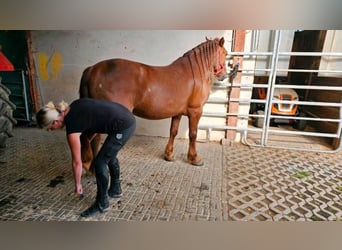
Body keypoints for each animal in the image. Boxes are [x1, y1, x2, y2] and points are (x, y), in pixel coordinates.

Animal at [79, 37, 227, 170]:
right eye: (225, 53)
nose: (224, 75)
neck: (194, 73)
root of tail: (92, 69)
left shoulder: (177, 113)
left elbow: (173, 131)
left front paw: (169, 155)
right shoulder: (196, 111)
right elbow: (193, 134)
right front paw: (195, 158)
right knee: (90, 137)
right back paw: (89, 164)